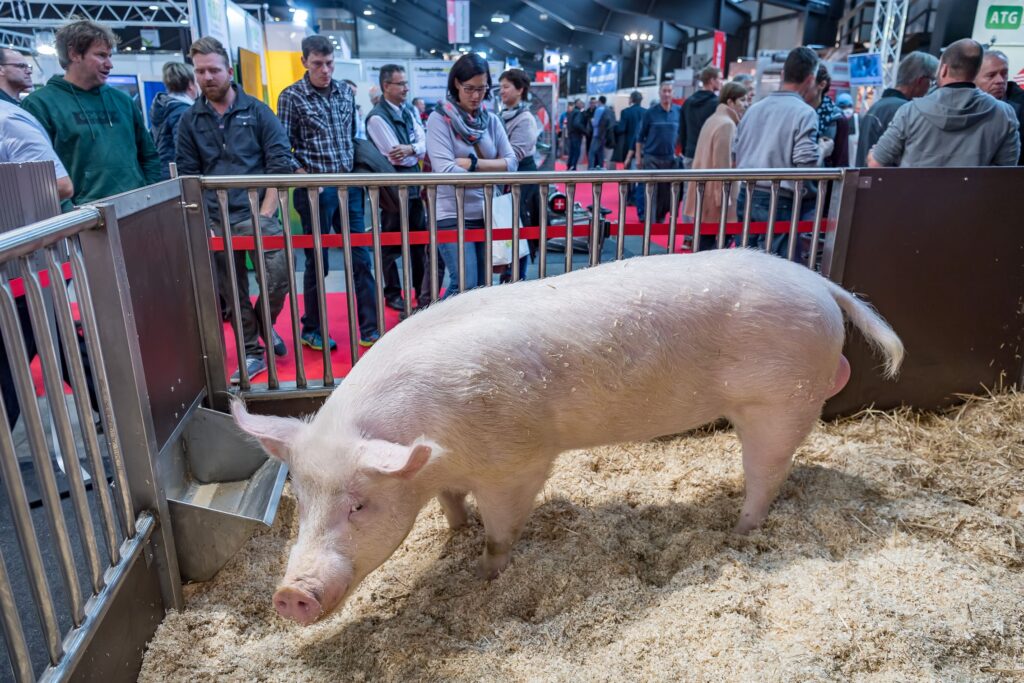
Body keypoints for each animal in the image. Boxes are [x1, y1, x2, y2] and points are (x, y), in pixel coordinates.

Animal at [234, 249, 905, 626]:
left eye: (359, 504)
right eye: (302, 501)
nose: (290, 595)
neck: (435, 452)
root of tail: (822, 286)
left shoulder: (517, 463)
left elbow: (503, 530)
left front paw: (486, 577)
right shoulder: (445, 473)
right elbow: (453, 508)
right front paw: (454, 534)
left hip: (777, 403)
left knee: (767, 477)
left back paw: (736, 535)